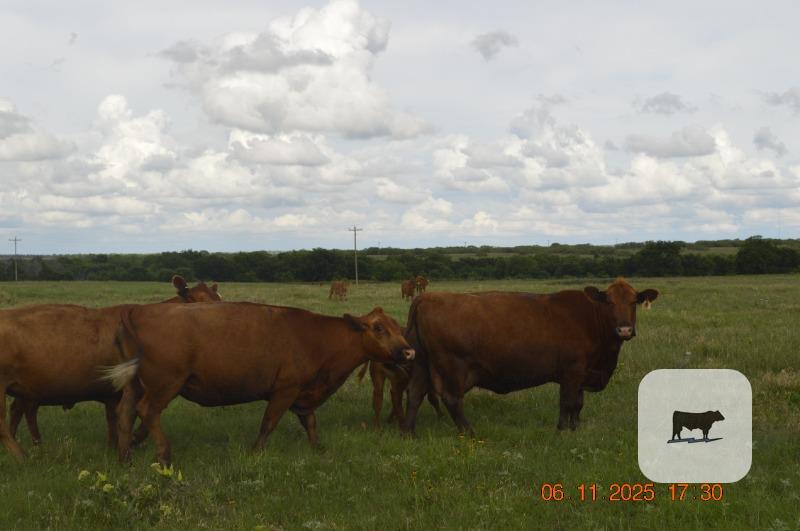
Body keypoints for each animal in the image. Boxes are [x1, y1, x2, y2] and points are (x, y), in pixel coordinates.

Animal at [0, 276, 221, 459]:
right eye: (194, 299)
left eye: (219, 299)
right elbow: (136, 417)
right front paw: (129, 444)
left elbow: (117, 420)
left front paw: (117, 446)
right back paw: (21, 455)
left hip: (27, 390)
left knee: (21, 411)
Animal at [104, 303, 415, 465]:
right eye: (378, 328)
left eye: (398, 327)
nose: (409, 351)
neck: (318, 336)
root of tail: (138, 311)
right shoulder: (285, 390)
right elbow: (269, 422)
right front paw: (256, 452)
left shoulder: (303, 393)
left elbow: (310, 422)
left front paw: (317, 448)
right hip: (165, 384)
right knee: (147, 411)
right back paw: (164, 455)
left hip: (136, 385)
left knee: (125, 412)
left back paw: (124, 456)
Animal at [401, 278, 659, 436]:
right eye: (610, 302)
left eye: (634, 301)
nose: (624, 329)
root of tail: (426, 297)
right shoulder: (572, 371)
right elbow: (568, 402)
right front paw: (562, 431)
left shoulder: (582, 373)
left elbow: (578, 404)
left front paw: (575, 428)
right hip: (453, 366)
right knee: (452, 399)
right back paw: (470, 433)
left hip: (421, 364)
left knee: (414, 394)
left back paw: (409, 433)